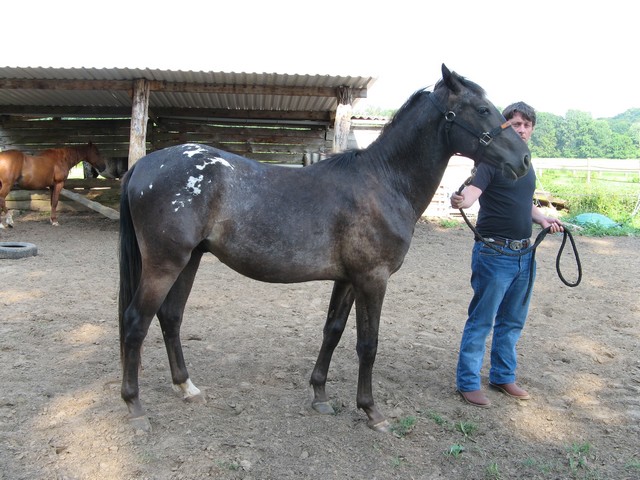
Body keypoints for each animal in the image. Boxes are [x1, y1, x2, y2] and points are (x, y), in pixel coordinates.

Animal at [118, 64, 531, 433]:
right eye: (482, 110)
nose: (523, 160)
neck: (383, 181)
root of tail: (142, 167)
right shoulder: (373, 279)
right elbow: (368, 344)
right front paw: (371, 411)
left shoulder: (347, 279)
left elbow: (332, 331)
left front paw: (320, 394)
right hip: (164, 264)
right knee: (136, 322)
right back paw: (135, 408)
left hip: (188, 261)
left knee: (170, 317)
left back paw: (186, 387)